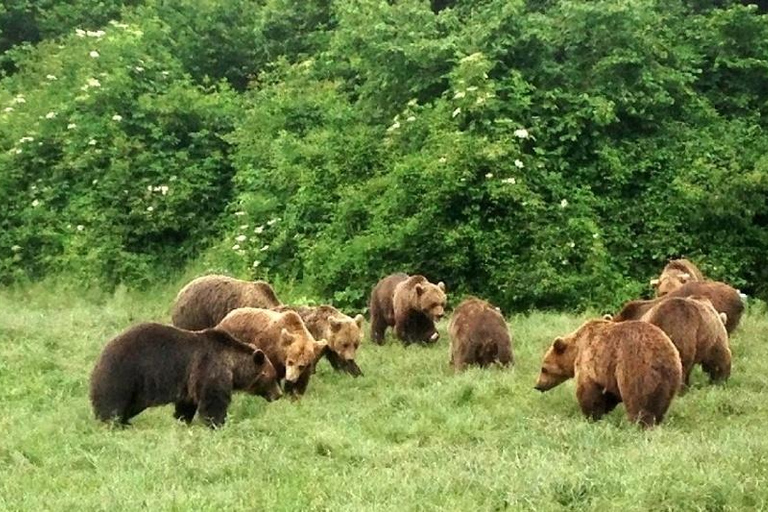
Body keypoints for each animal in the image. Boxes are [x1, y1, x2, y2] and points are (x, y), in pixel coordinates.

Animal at [89, 322, 282, 428]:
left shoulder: (190, 381)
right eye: (272, 376)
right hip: (124, 374)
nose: (279, 394)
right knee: (113, 403)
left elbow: (186, 404)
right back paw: (114, 423)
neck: (233, 365)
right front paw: (217, 424)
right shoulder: (211, 369)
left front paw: (182, 420)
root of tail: (101, 355)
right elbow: (214, 401)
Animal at [534, 319, 682, 428]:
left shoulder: (589, 362)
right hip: (670, 378)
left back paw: (639, 424)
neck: (576, 350)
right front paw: (604, 410)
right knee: (661, 403)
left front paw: (591, 416)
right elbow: (610, 393)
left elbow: (587, 392)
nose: (537, 386)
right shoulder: (609, 372)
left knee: (637, 401)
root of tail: (660, 356)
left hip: (635, 368)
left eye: (543, 368)